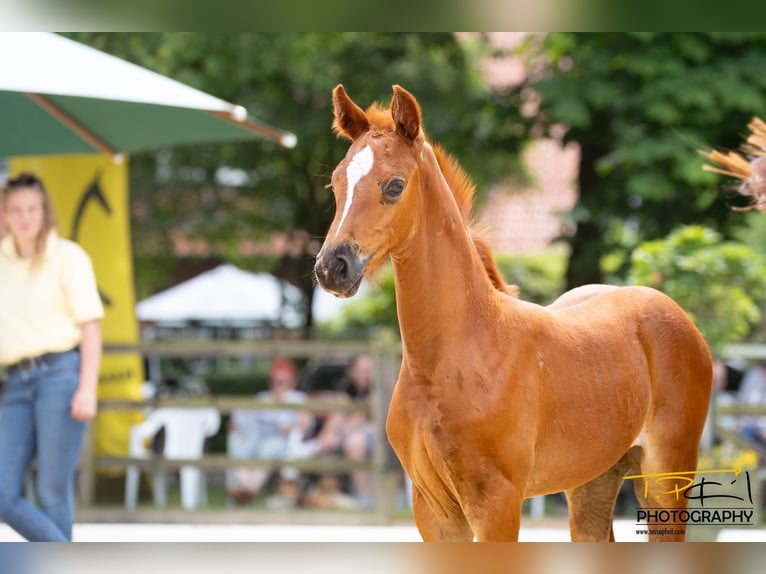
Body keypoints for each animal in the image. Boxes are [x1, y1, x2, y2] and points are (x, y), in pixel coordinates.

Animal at [314, 84, 713, 541]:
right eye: (335, 184)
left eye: (394, 186)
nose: (332, 267)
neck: (452, 358)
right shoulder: (433, 511)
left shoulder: (497, 503)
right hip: (593, 480)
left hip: (667, 476)